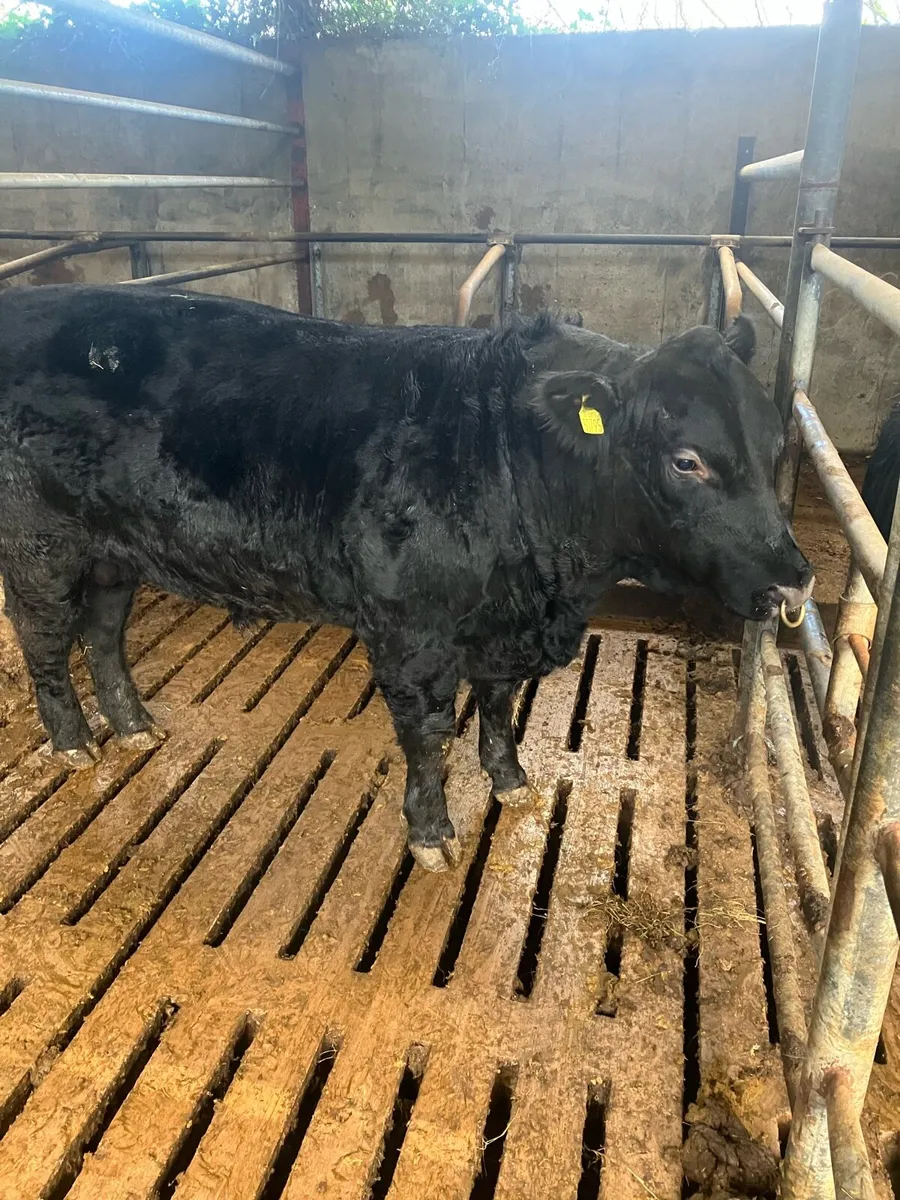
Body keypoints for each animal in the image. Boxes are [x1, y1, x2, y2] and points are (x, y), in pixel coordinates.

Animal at [0, 285, 813, 871]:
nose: (793, 583)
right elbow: (428, 734)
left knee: (103, 633)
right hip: (40, 548)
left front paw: (511, 781)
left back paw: (135, 727)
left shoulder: (498, 624)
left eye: (776, 440)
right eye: (687, 459)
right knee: (45, 640)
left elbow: (497, 704)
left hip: (115, 551)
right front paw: (432, 832)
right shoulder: (409, 627)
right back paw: (74, 743)